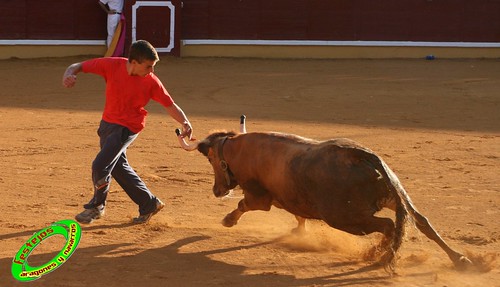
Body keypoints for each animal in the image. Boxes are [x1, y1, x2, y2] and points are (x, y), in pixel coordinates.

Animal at [176, 116, 472, 272]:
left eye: (211, 160)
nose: (216, 190)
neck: (239, 149)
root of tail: (365, 157)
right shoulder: (290, 197)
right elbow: (298, 215)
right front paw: (299, 231)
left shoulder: (259, 198)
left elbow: (242, 204)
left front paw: (227, 220)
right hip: (395, 195)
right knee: (421, 222)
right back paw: (460, 259)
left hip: (345, 217)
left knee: (388, 226)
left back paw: (380, 255)